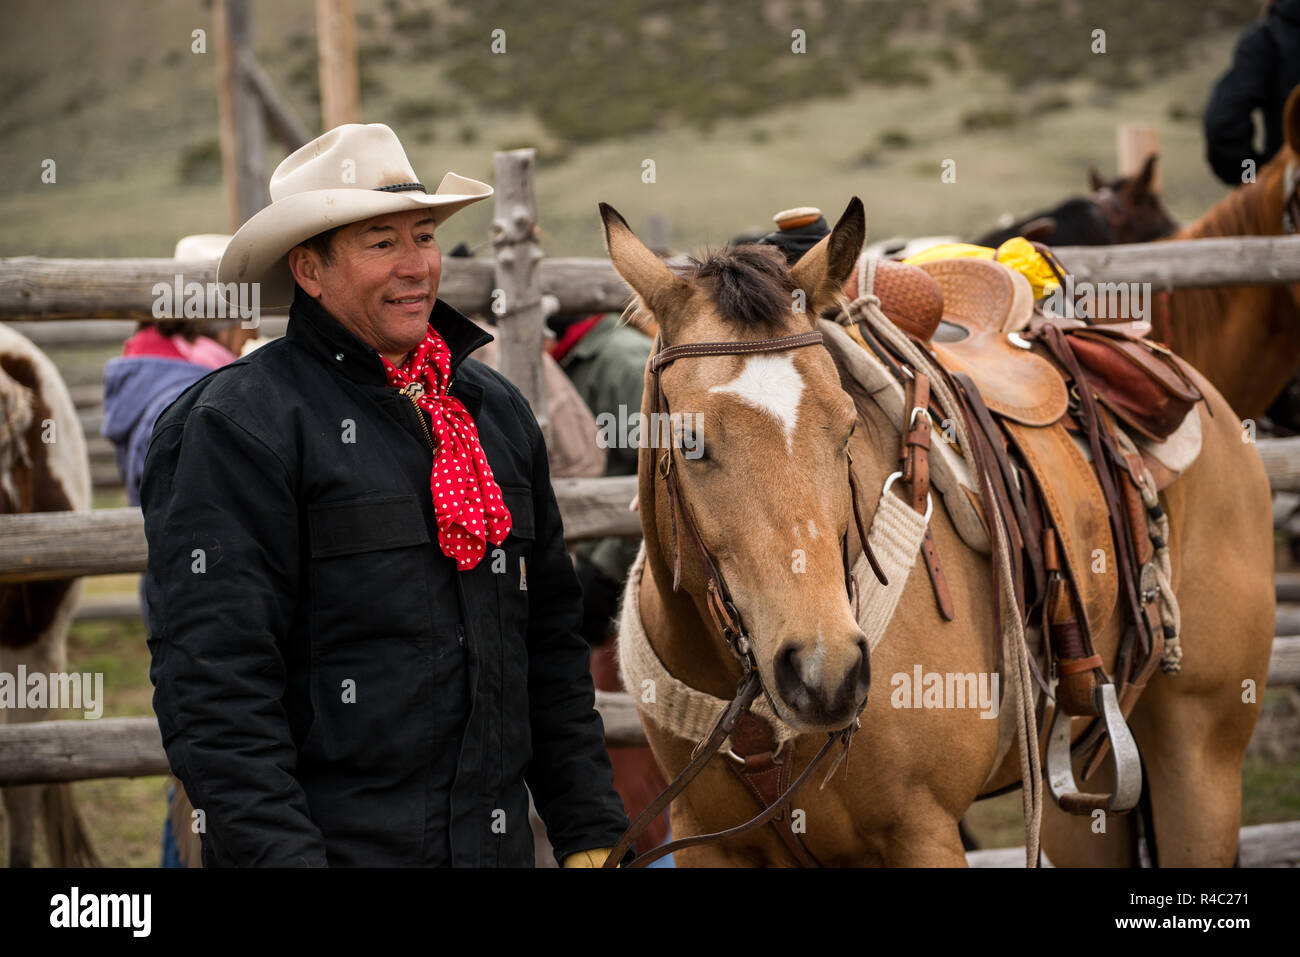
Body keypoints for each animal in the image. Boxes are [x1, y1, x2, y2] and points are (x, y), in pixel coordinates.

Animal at [603, 196, 1274, 868]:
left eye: (847, 428)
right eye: (690, 442)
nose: (827, 673)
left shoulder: (922, 831)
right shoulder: (705, 841)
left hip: (1200, 760)